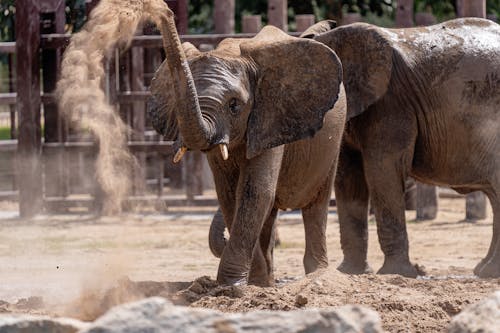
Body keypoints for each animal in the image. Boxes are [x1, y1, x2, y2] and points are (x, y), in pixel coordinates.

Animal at [146, 21, 346, 286]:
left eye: (234, 106)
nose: (165, 14)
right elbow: (230, 195)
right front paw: (252, 285)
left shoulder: (270, 117)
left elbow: (254, 192)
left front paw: (233, 287)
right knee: (271, 214)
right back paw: (268, 282)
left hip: (332, 143)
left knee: (316, 204)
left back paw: (317, 274)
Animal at [308, 18, 500, 278]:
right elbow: (349, 178)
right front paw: (351, 273)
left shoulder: (392, 103)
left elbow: (382, 171)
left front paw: (396, 274)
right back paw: (484, 270)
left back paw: (489, 271)